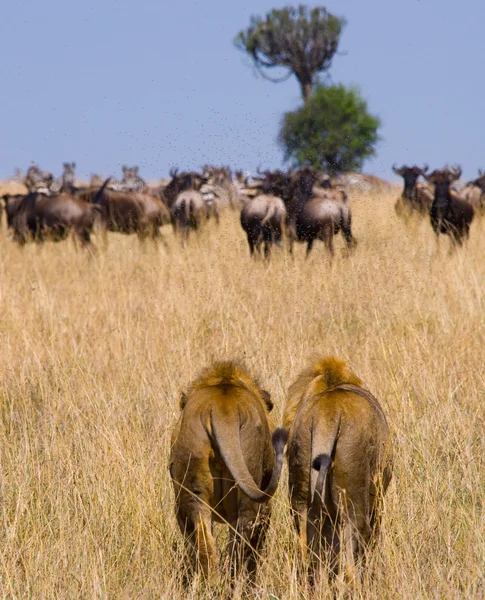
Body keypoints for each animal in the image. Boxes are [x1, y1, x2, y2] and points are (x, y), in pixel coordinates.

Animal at [284, 356, 394, 580]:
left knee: (307, 552)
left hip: (301, 496)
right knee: (354, 555)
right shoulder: (378, 496)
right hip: (354, 495)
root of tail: (327, 416)